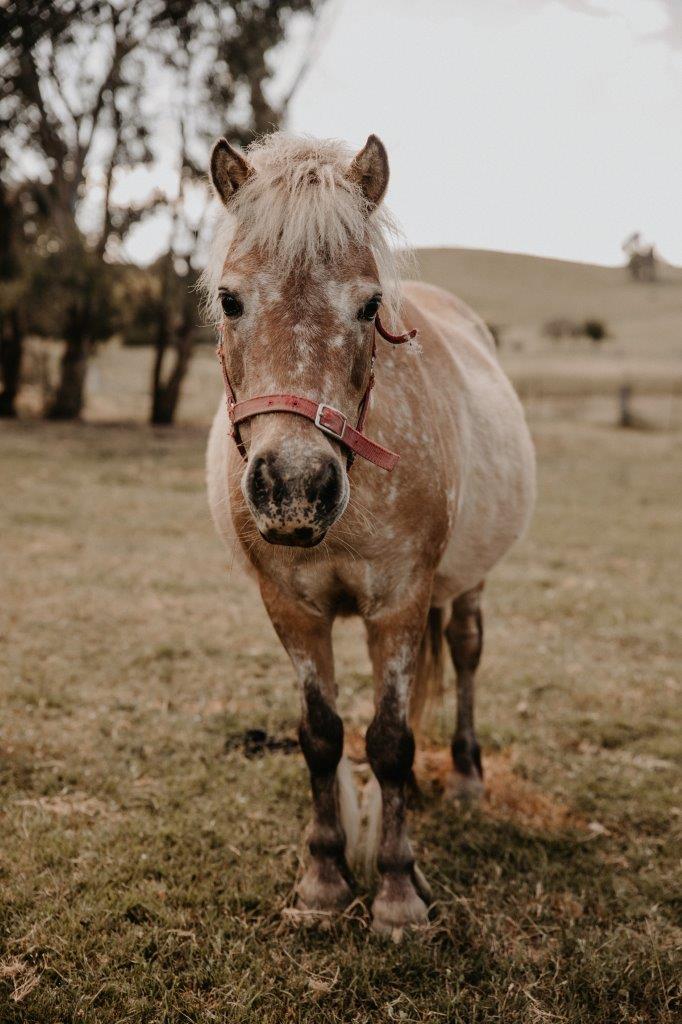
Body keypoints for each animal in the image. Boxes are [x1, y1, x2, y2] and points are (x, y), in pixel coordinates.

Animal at [202, 134, 536, 937]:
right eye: (229, 299)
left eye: (369, 304)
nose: (295, 485)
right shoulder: (292, 608)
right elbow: (322, 736)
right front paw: (323, 881)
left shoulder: (400, 603)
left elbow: (389, 742)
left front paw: (395, 893)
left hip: (465, 585)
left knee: (466, 652)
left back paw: (468, 777)